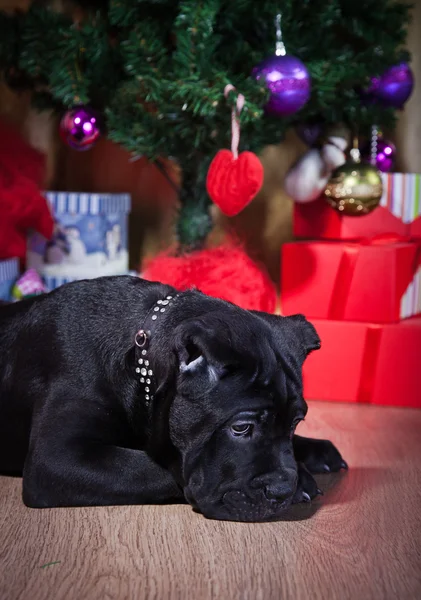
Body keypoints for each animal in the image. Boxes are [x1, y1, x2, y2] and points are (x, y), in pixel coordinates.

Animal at [0, 276, 344, 520]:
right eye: (241, 428)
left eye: (295, 423)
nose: (282, 490)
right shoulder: (57, 457)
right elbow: (148, 466)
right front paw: (302, 479)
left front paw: (310, 454)